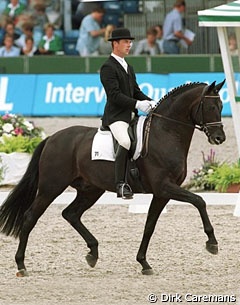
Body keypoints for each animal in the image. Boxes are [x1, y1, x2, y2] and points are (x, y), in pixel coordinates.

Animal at [0, 80, 226, 276]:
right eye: (210, 107)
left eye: (222, 106)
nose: (219, 138)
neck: (165, 133)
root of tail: (52, 138)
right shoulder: (164, 187)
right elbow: (199, 201)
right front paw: (212, 243)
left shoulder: (162, 193)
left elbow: (149, 226)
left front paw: (144, 263)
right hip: (51, 187)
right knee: (30, 217)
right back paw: (21, 265)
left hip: (91, 190)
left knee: (71, 214)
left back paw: (93, 252)